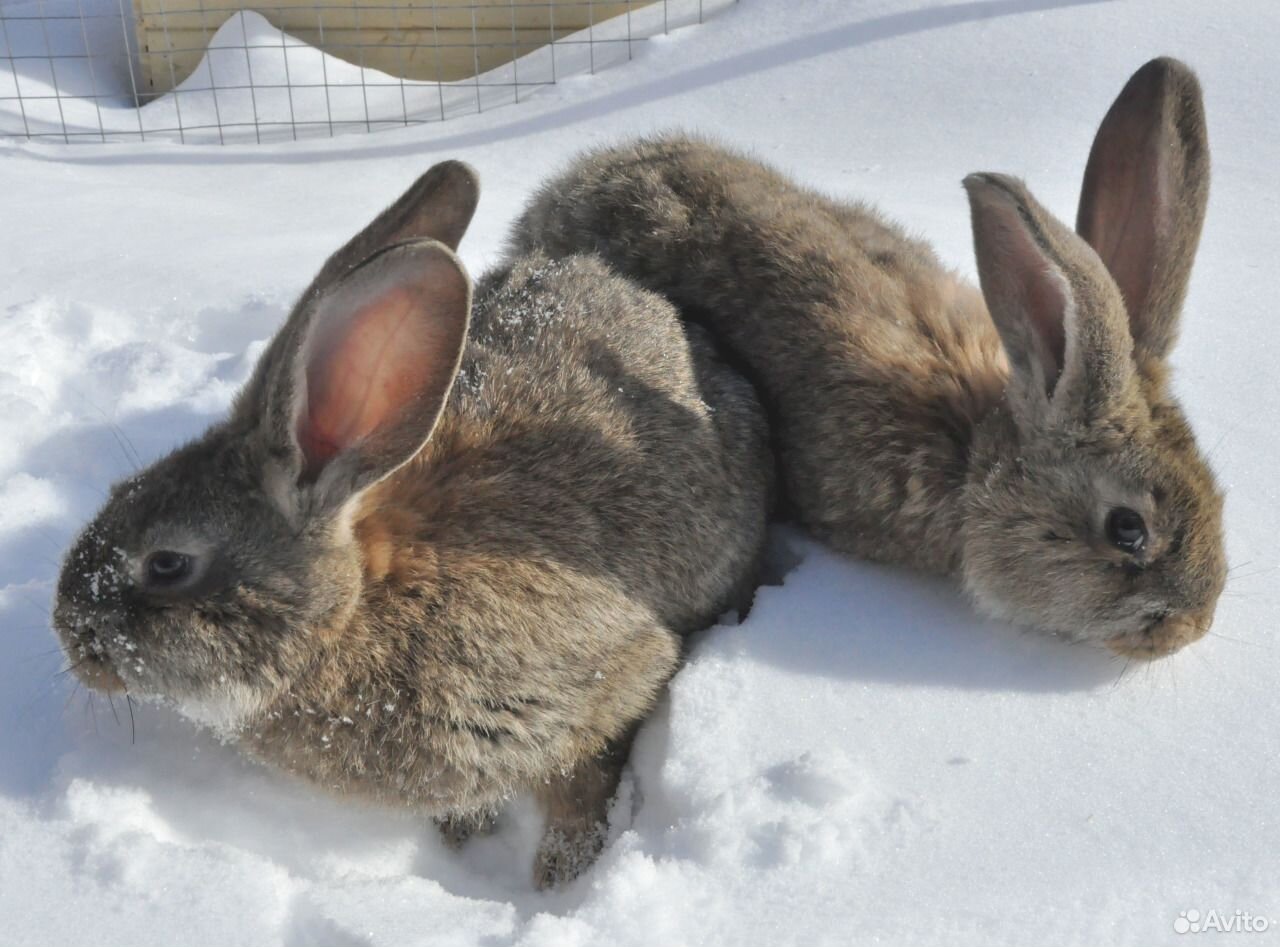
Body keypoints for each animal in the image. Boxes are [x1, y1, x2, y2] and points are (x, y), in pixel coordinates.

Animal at [52, 157, 768, 885]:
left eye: (167, 563)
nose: (68, 633)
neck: (359, 611)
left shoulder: (605, 687)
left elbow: (584, 786)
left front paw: (557, 878)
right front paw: (462, 838)